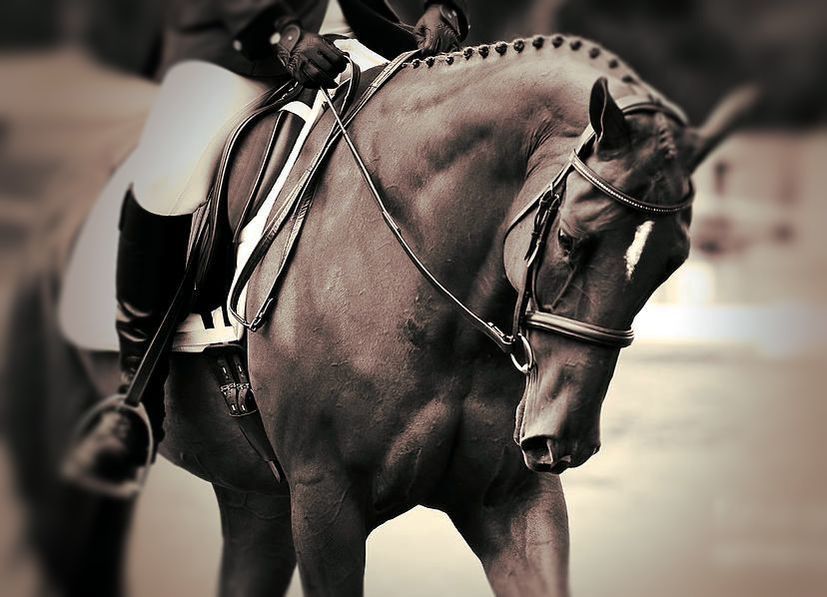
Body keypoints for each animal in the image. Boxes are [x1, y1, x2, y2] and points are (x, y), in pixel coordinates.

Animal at [1, 34, 752, 597]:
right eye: (570, 238)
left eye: (672, 262)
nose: (558, 440)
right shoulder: (326, 503)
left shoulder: (512, 500)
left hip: (254, 493)